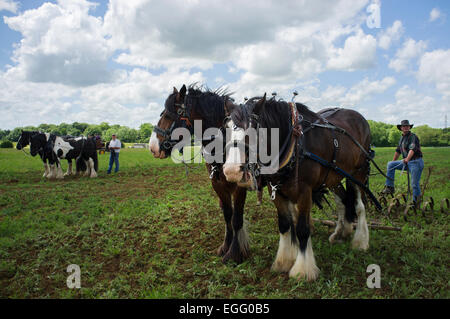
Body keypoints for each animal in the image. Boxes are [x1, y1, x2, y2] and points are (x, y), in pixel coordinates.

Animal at [150, 84, 253, 262]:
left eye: (169, 115)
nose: (152, 147)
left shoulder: (240, 186)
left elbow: (237, 219)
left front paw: (234, 253)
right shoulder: (217, 184)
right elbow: (228, 215)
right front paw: (226, 246)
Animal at [224, 95, 376, 282]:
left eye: (253, 130)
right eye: (226, 129)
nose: (231, 171)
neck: (294, 144)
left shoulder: (305, 192)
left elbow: (302, 229)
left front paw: (303, 270)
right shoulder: (276, 191)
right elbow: (285, 225)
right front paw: (283, 261)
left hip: (359, 173)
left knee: (360, 206)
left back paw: (360, 241)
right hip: (334, 177)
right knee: (343, 202)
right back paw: (342, 232)